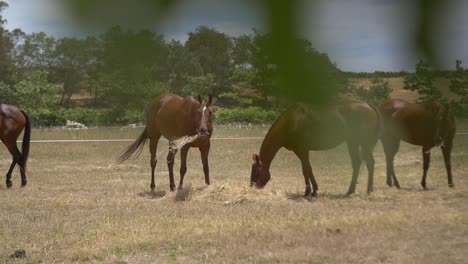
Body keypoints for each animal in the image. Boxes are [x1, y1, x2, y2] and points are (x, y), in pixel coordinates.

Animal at [252, 100, 380, 197]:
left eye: (256, 171)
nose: (252, 187)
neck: (290, 122)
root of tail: (369, 106)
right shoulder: (300, 151)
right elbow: (309, 169)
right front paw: (314, 191)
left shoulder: (303, 150)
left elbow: (305, 170)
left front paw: (307, 192)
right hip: (353, 143)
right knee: (357, 163)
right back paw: (350, 191)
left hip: (364, 143)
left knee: (370, 163)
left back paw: (369, 190)